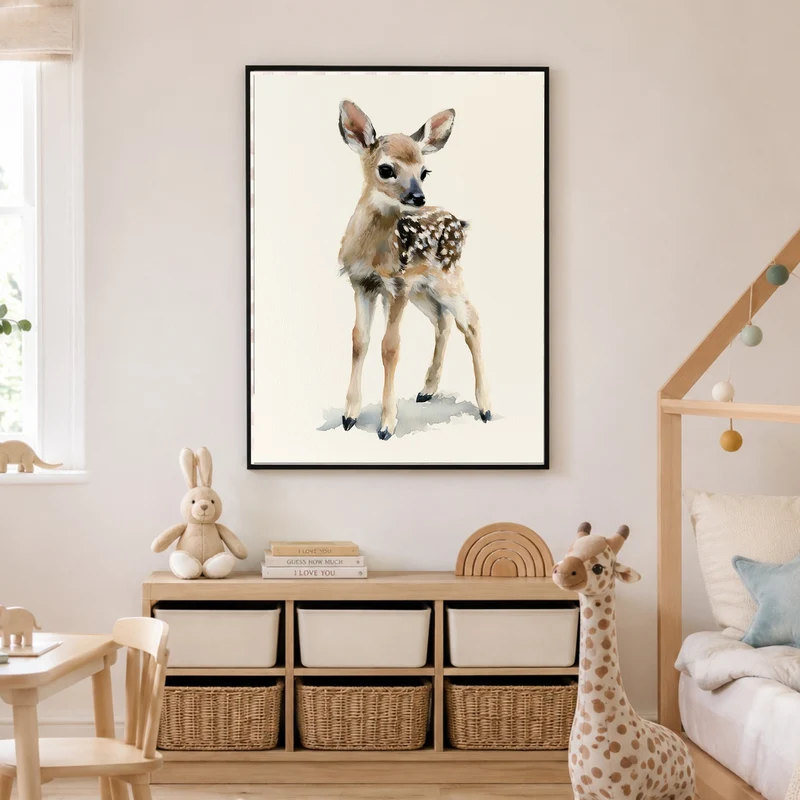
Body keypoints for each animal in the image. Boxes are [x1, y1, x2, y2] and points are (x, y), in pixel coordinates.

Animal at [337, 100, 492, 441]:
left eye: (424, 171)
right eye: (386, 169)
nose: (418, 197)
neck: (373, 252)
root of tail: (460, 224)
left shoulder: (396, 286)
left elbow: (390, 347)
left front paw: (386, 425)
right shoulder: (362, 284)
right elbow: (358, 341)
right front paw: (349, 416)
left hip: (447, 277)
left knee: (471, 321)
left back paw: (486, 407)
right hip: (422, 289)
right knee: (442, 321)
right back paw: (427, 389)